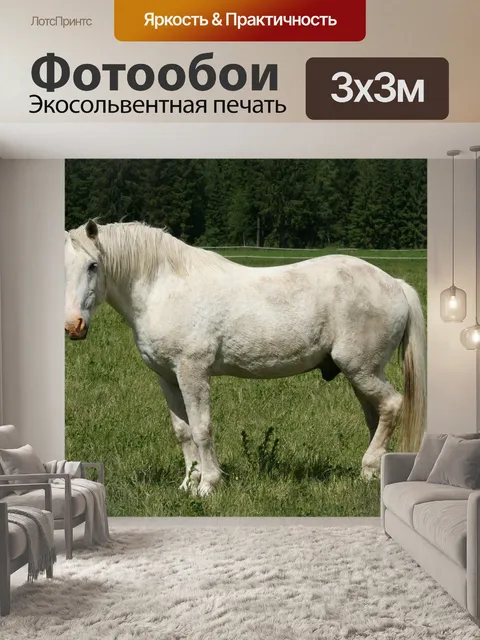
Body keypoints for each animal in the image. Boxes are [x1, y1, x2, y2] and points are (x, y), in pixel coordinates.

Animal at [65, 221, 426, 497]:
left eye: (93, 265)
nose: (73, 325)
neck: (163, 288)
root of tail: (395, 284)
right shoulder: (167, 377)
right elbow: (183, 431)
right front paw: (188, 483)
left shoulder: (192, 372)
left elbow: (201, 428)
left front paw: (208, 486)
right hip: (361, 374)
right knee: (376, 416)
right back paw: (375, 472)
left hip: (362, 369)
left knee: (392, 406)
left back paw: (368, 468)